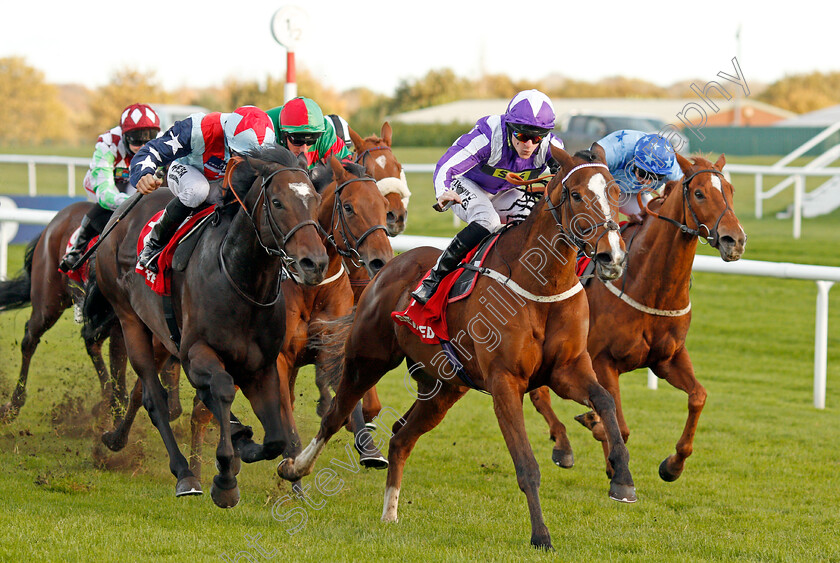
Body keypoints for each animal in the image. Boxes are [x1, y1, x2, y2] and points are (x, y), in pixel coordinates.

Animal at [0, 203, 182, 424]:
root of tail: (55, 221)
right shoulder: (121, 321)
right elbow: (120, 368)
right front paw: (116, 412)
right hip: (49, 301)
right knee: (30, 339)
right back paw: (13, 404)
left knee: (90, 342)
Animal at [88, 147, 328, 506]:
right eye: (277, 202)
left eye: (315, 199)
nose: (315, 263)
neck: (242, 283)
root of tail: (119, 215)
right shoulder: (197, 353)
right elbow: (223, 389)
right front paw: (225, 477)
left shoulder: (262, 367)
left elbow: (275, 437)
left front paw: (246, 443)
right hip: (130, 321)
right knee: (154, 398)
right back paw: (184, 474)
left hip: (161, 334)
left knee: (143, 392)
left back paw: (115, 438)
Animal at [187, 158, 394, 476]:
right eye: (348, 207)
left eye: (384, 206)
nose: (381, 260)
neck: (313, 289)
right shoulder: (278, 360)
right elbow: (289, 428)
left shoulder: (331, 347)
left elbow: (351, 404)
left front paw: (368, 447)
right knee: (200, 411)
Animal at [278, 145, 632, 552]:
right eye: (575, 195)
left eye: (616, 192)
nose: (611, 256)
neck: (542, 286)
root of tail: (387, 267)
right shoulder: (505, 382)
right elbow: (526, 464)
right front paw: (541, 535)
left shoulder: (567, 369)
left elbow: (604, 400)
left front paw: (622, 479)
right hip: (367, 358)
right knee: (335, 415)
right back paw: (295, 468)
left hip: (444, 387)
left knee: (401, 436)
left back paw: (389, 513)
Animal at [532, 153, 748, 480]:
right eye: (699, 193)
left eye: (731, 191)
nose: (734, 240)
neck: (650, 287)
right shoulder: (603, 361)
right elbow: (619, 426)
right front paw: (612, 460)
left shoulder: (668, 358)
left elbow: (698, 396)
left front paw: (673, 465)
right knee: (538, 393)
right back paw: (563, 444)